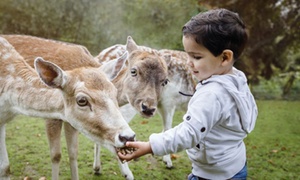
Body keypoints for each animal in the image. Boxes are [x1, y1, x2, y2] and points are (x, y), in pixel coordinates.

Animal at [2, 34, 170, 179]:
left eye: (165, 80)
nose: (148, 108)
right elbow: (56, 155)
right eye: (134, 71)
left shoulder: (72, 121)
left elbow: (73, 153)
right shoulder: (52, 117)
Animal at [94, 43, 197, 173]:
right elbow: (168, 127)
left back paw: (97, 168)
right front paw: (168, 162)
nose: (148, 108)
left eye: (165, 81)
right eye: (133, 71)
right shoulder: (168, 102)